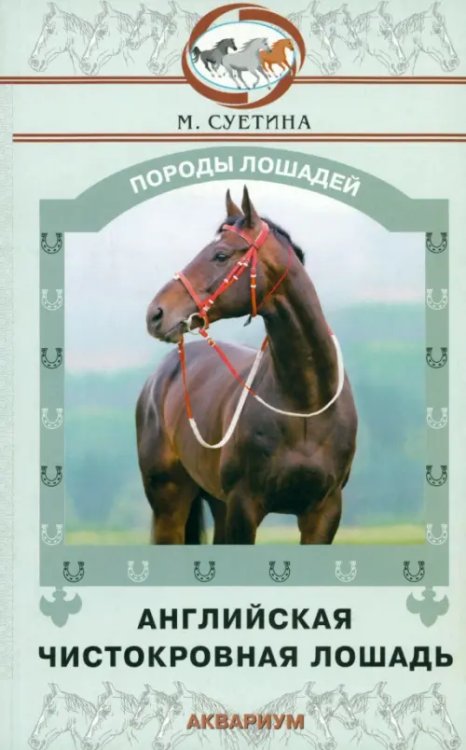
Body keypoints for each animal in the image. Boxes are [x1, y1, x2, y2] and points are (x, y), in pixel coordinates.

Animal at [137, 187, 357, 545]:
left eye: (221, 255)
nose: (156, 314)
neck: (305, 407)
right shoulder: (244, 506)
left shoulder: (324, 511)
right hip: (169, 501)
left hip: (217, 503)